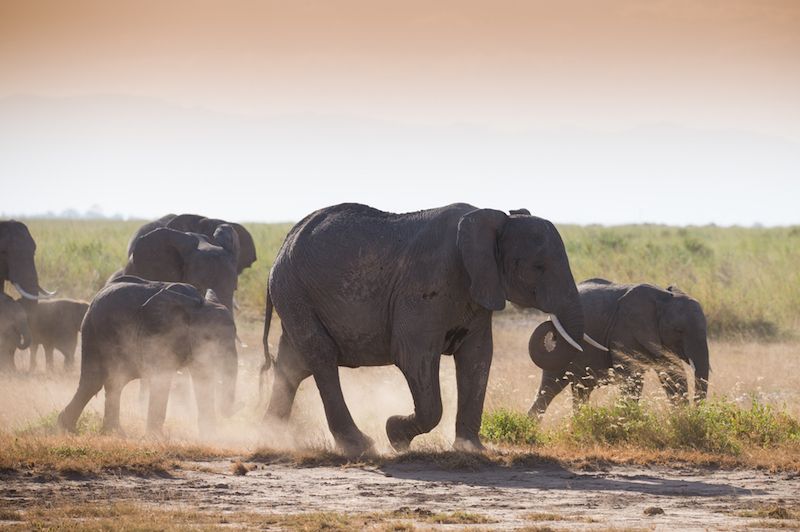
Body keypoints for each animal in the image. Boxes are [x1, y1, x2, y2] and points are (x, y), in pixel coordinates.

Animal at [59, 276, 238, 434]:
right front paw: (156, 438)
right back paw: (68, 428)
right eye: (208, 337)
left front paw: (210, 437)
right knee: (94, 381)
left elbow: (203, 379)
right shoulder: (161, 335)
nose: (229, 412)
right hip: (94, 331)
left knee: (115, 381)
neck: (196, 305)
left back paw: (112, 433)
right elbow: (162, 378)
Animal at [264, 202, 592, 456]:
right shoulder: (425, 284)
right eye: (539, 267)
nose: (551, 327)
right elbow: (413, 356)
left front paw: (472, 449)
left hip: (294, 295)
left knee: (293, 365)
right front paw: (395, 434)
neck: (492, 219)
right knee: (321, 358)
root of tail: (282, 246)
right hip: (295, 291)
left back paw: (270, 437)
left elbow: (477, 358)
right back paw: (360, 446)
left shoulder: (478, 290)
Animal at [532, 278, 708, 416]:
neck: (664, 297)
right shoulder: (624, 330)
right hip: (558, 348)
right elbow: (632, 378)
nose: (696, 413)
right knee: (550, 388)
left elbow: (673, 376)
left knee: (580, 390)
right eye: (679, 330)